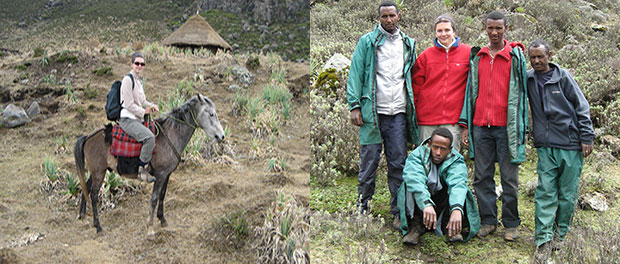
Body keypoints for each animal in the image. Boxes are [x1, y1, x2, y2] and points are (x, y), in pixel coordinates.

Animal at [74, 94, 225, 233]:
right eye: (211, 114)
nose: (222, 136)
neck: (170, 134)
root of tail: (88, 137)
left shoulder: (167, 174)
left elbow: (162, 195)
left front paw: (162, 219)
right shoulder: (160, 175)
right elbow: (154, 198)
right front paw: (150, 226)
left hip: (96, 172)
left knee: (86, 187)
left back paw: (83, 216)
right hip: (99, 173)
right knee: (94, 195)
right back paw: (98, 226)